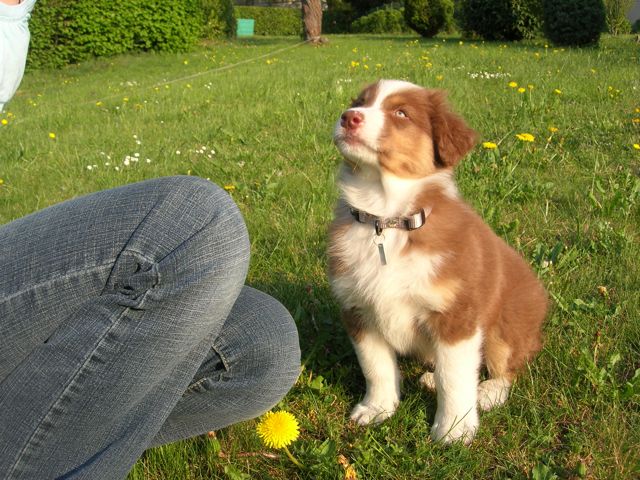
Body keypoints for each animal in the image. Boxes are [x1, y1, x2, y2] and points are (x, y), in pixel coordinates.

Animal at [328, 79, 548, 442]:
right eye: (360, 101)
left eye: (402, 113)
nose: (349, 117)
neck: (386, 218)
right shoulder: (357, 309)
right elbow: (376, 367)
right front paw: (377, 408)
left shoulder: (457, 315)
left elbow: (455, 378)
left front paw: (454, 430)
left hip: (507, 322)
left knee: (508, 369)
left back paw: (486, 393)